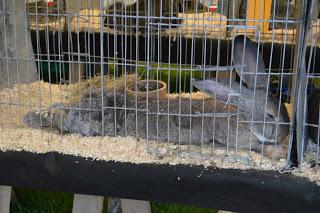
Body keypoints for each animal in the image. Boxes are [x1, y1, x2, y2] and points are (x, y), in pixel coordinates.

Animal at [23, 35, 290, 159]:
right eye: (270, 115)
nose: (285, 134)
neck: (242, 115)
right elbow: (257, 147)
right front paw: (278, 152)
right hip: (89, 124)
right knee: (60, 119)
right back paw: (32, 118)